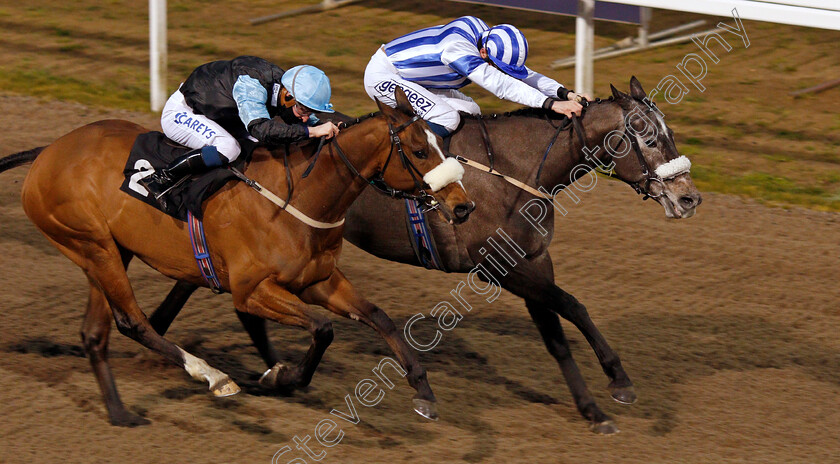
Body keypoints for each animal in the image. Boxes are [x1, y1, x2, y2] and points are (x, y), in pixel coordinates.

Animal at [0, 86, 472, 424]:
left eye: (442, 145)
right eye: (419, 151)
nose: (463, 206)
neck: (299, 197)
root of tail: (47, 152)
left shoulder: (319, 281)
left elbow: (378, 317)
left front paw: (424, 392)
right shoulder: (252, 290)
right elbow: (322, 329)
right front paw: (283, 376)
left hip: (110, 250)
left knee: (96, 333)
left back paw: (119, 413)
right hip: (93, 246)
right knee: (133, 321)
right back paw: (212, 376)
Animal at [141, 77, 700, 436]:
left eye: (669, 131)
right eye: (648, 135)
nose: (690, 197)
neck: (516, 171)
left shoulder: (533, 262)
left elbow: (566, 325)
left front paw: (605, 397)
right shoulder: (506, 269)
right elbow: (567, 321)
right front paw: (607, 395)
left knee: (208, 280)